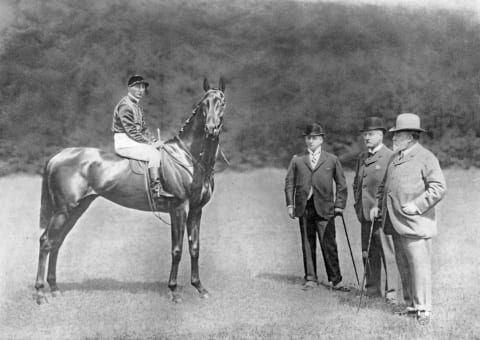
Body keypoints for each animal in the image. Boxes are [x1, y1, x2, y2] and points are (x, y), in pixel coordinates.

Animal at [35, 77, 227, 306]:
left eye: (222, 102)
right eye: (204, 103)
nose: (211, 129)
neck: (188, 157)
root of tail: (58, 156)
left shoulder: (196, 210)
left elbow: (195, 247)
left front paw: (199, 287)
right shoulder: (178, 209)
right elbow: (177, 250)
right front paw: (174, 291)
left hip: (75, 210)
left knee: (56, 242)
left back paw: (54, 289)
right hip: (63, 210)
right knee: (46, 242)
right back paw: (40, 293)